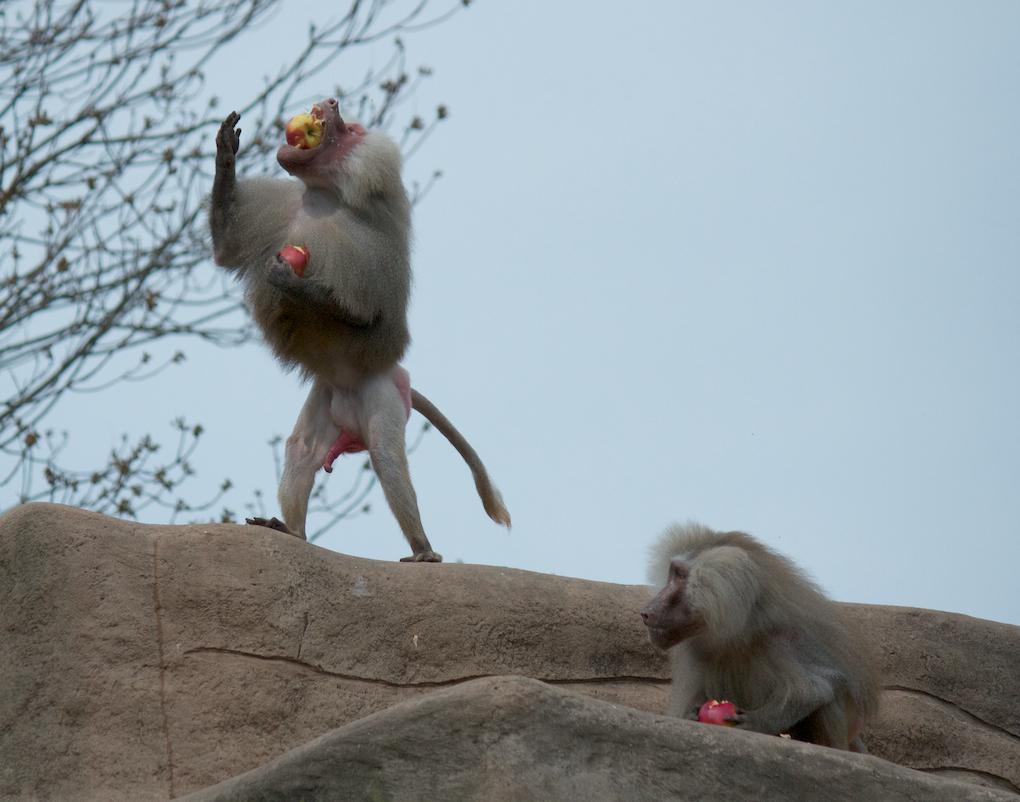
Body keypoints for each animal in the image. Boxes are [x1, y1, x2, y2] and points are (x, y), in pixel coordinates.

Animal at [208, 99, 510, 562]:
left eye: (350, 130)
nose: (329, 103)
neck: (322, 197)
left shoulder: (367, 253)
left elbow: (367, 318)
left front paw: (292, 282)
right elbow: (226, 246)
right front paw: (226, 148)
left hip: (380, 395)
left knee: (387, 457)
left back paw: (424, 551)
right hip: (327, 398)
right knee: (301, 449)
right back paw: (292, 532)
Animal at [641, 521, 881, 752]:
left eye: (681, 575)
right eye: (672, 572)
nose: (647, 611)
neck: (739, 627)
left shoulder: (778, 642)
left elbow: (817, 687)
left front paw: (755, 722)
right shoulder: (698, 650)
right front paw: (691, 714)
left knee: (829, 698)